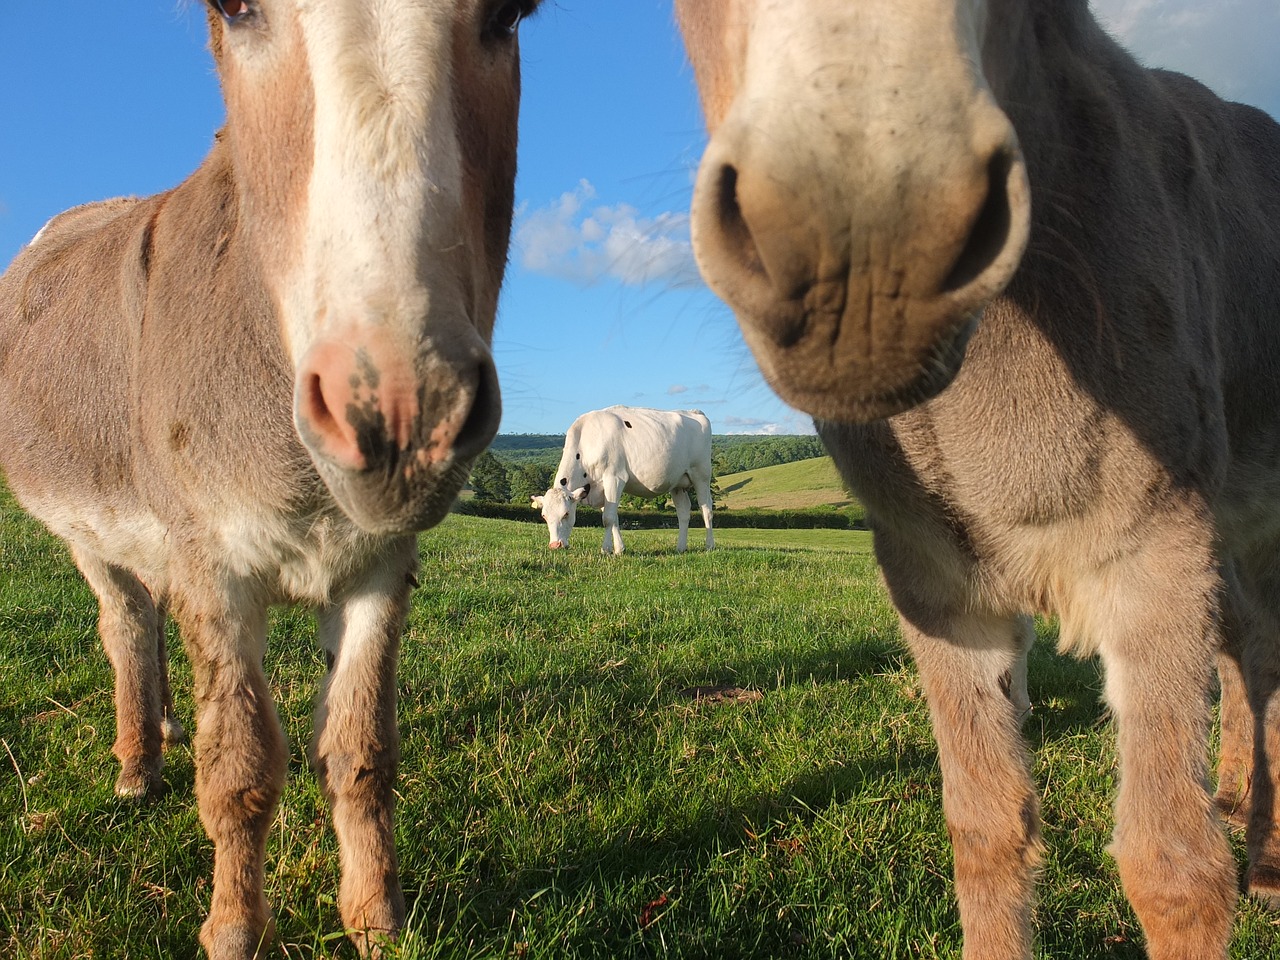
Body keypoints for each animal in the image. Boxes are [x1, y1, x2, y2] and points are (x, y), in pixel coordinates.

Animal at [527, 407, 716, 555]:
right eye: (544, 516)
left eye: (566, 513)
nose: (555, 545)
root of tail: (694, 412)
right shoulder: (601, 488)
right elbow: (614, 518)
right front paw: (619, 549)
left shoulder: (614, 478)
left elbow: (608, 518)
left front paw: (605, 549)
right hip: (677, 483)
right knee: (683, 512)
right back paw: (680, 547)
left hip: (702, 475)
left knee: (706, 509)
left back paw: (709, 546)